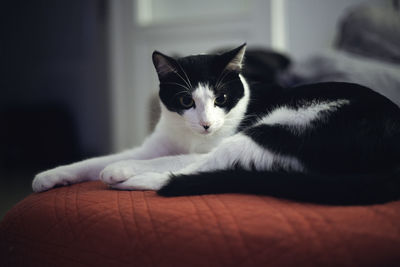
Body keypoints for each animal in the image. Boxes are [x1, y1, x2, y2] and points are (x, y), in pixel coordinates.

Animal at [32, 44, 400, 205]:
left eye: (221, 98)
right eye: (185, 101)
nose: (207, 124)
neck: (190, 135)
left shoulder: (202, 144)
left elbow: (170, 159)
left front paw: (120, 169)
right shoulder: (156, 142)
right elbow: (95, 160)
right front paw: (49, 176)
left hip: (283, 125)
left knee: (202, 166)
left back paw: (131, 179)